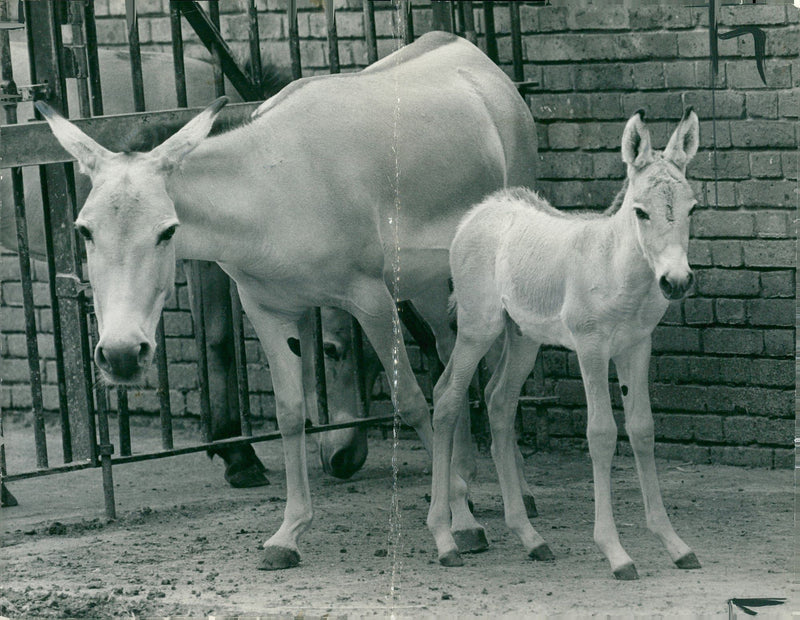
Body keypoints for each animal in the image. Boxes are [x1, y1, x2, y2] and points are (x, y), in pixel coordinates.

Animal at [432, 109, 700, 580]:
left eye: (692, 208)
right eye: (641, 212)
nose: (677, 282)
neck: (617, 267)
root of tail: (480, 210)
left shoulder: (636, 347)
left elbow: (643, 430)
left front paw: (674, 544)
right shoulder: (591, 348)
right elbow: (601, 433)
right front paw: (615, 552)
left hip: (522, 337)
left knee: (499, 401)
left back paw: (531, 538)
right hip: (478, 327)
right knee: (446, 396)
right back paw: (445, 539)